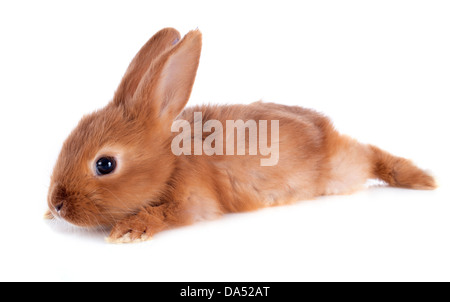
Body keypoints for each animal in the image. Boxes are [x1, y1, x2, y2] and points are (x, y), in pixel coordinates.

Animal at [45, 26, 436, 243]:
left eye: (105, 164)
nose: (56, 204)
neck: (171, 160)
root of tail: (329, 134)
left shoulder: (192, 202)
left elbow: (167, 214)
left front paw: (130, 230)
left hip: (342, 171)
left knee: (371, 155)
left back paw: (421, 179)